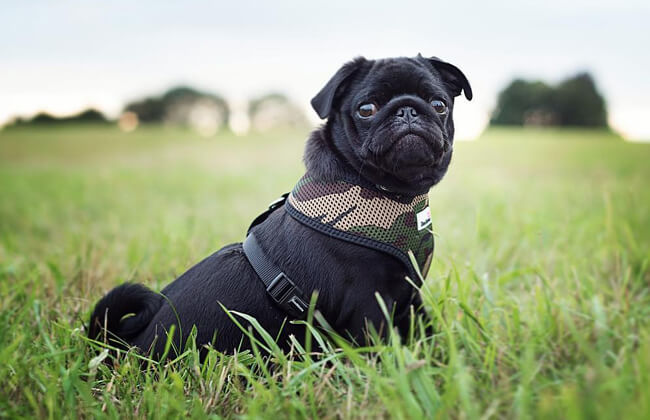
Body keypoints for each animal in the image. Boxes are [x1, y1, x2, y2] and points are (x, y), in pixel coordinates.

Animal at [87, 54, 470, 360]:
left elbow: (427, 329)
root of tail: (124, 344)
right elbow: (380, 352)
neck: (390, 193)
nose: (408, 109)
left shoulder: (411, 297)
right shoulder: (368, 306)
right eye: (367, 109)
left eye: (439, 104)